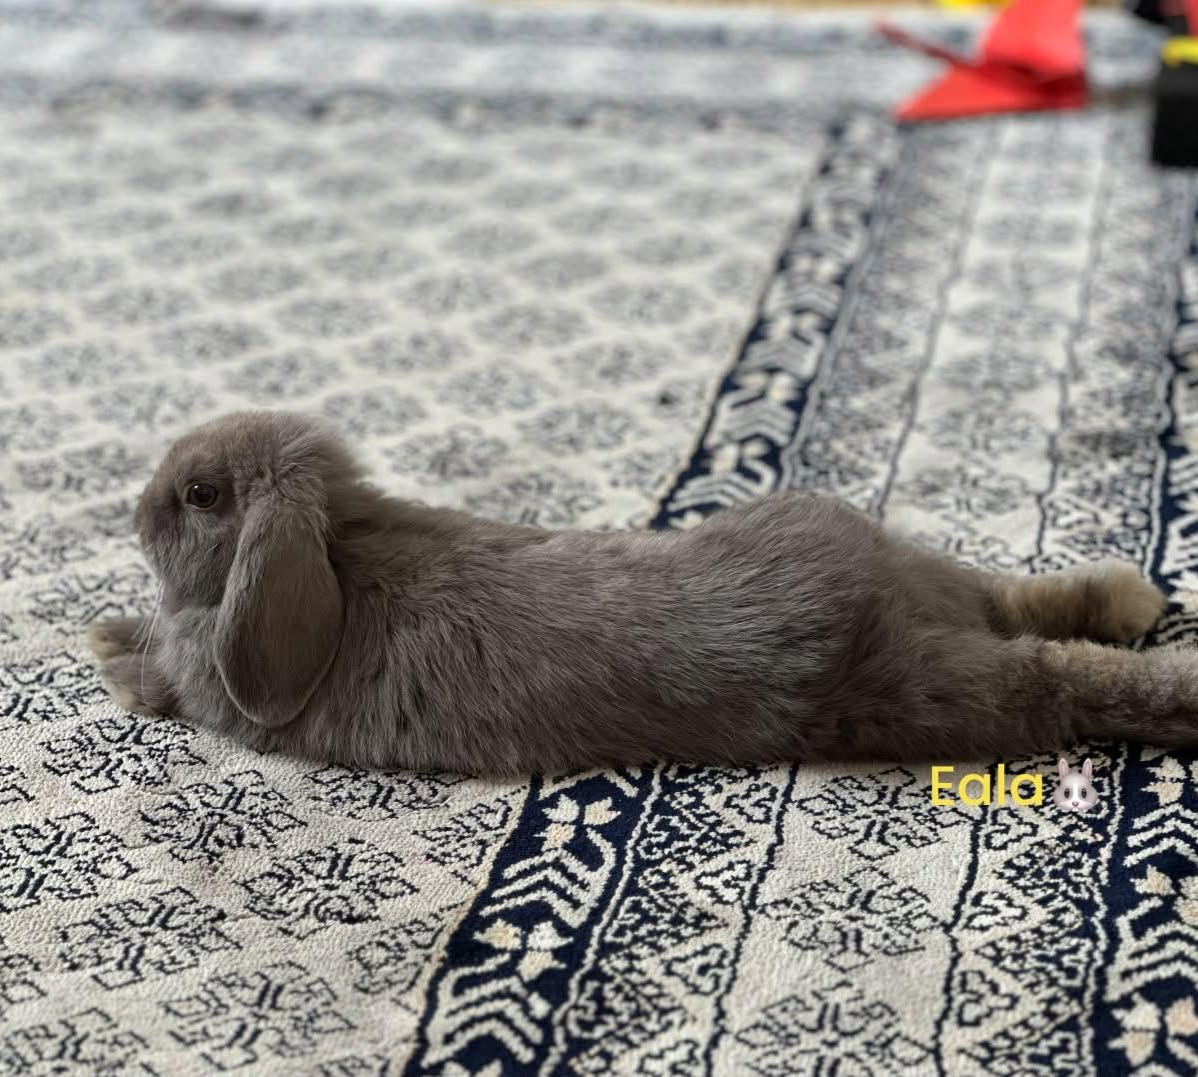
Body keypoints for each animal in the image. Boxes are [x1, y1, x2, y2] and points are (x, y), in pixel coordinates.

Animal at [87, 410, 1198, 776]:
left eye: (200, 495)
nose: (131, 513)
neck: (340, 551)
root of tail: (881, 589)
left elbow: (161, 681)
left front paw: (105, 647)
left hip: (928, 689)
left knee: (1056, 673)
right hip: (931, 593)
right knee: (1013, 602)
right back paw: (1128, 597)